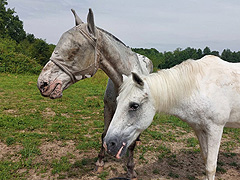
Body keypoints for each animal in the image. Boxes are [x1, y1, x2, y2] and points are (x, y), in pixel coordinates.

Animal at [36, 8, 153, 179]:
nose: (43, 84)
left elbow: (130, 144)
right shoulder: (108, 109)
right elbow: (104, 135)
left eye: (76, 48)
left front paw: (131, 169)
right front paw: (99, 163)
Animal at [104, 55, 240, 180]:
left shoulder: (215, 129)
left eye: (134, 105)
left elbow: (211, 167)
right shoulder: (200, 130)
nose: (108, 144)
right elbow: (206, 160)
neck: (200, 88)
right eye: (117, 101)